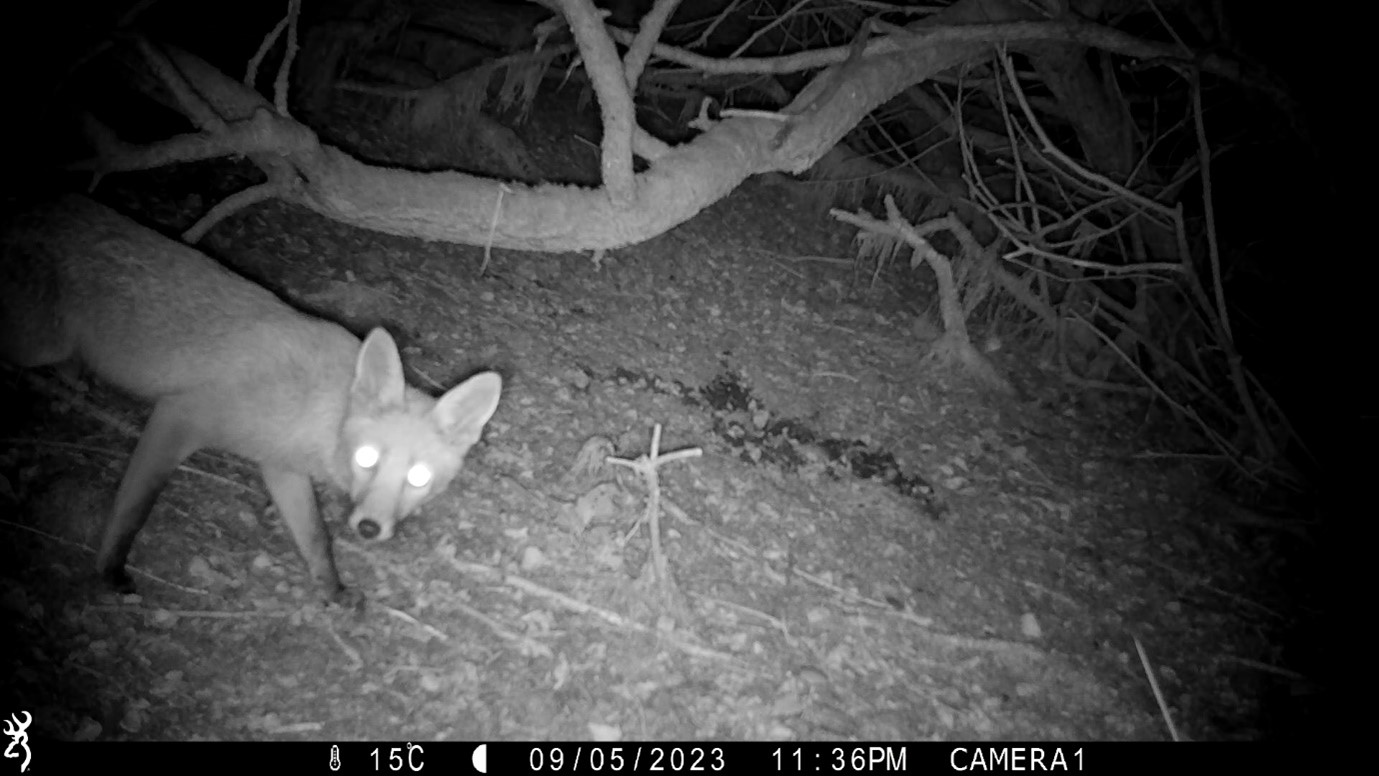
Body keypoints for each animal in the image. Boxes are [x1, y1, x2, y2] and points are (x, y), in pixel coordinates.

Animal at [0, 195, 502, 606]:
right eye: (366, 458)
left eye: (418, 477)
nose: (368, 528)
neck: (311, 413)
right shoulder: (179, 417)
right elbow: (133, 509)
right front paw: (109, 571)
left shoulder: (281, 467)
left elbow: (315, 538)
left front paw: (333, 591)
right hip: (39, 344)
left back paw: (73, 382)